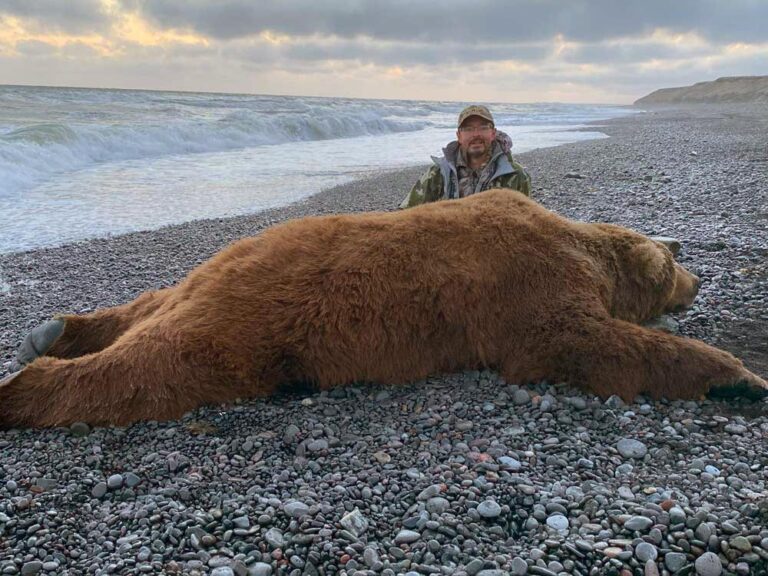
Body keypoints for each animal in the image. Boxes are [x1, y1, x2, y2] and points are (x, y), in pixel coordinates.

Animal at [0, 190, 764, 428]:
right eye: (675, 267)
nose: (700, 276)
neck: (585, 246)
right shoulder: (528, 286)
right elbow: (580, 342)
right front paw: (739, 376)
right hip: (238, 326)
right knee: (147, 371)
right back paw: (23, 385)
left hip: (202, 281)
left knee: (148, 303)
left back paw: (56, 328)